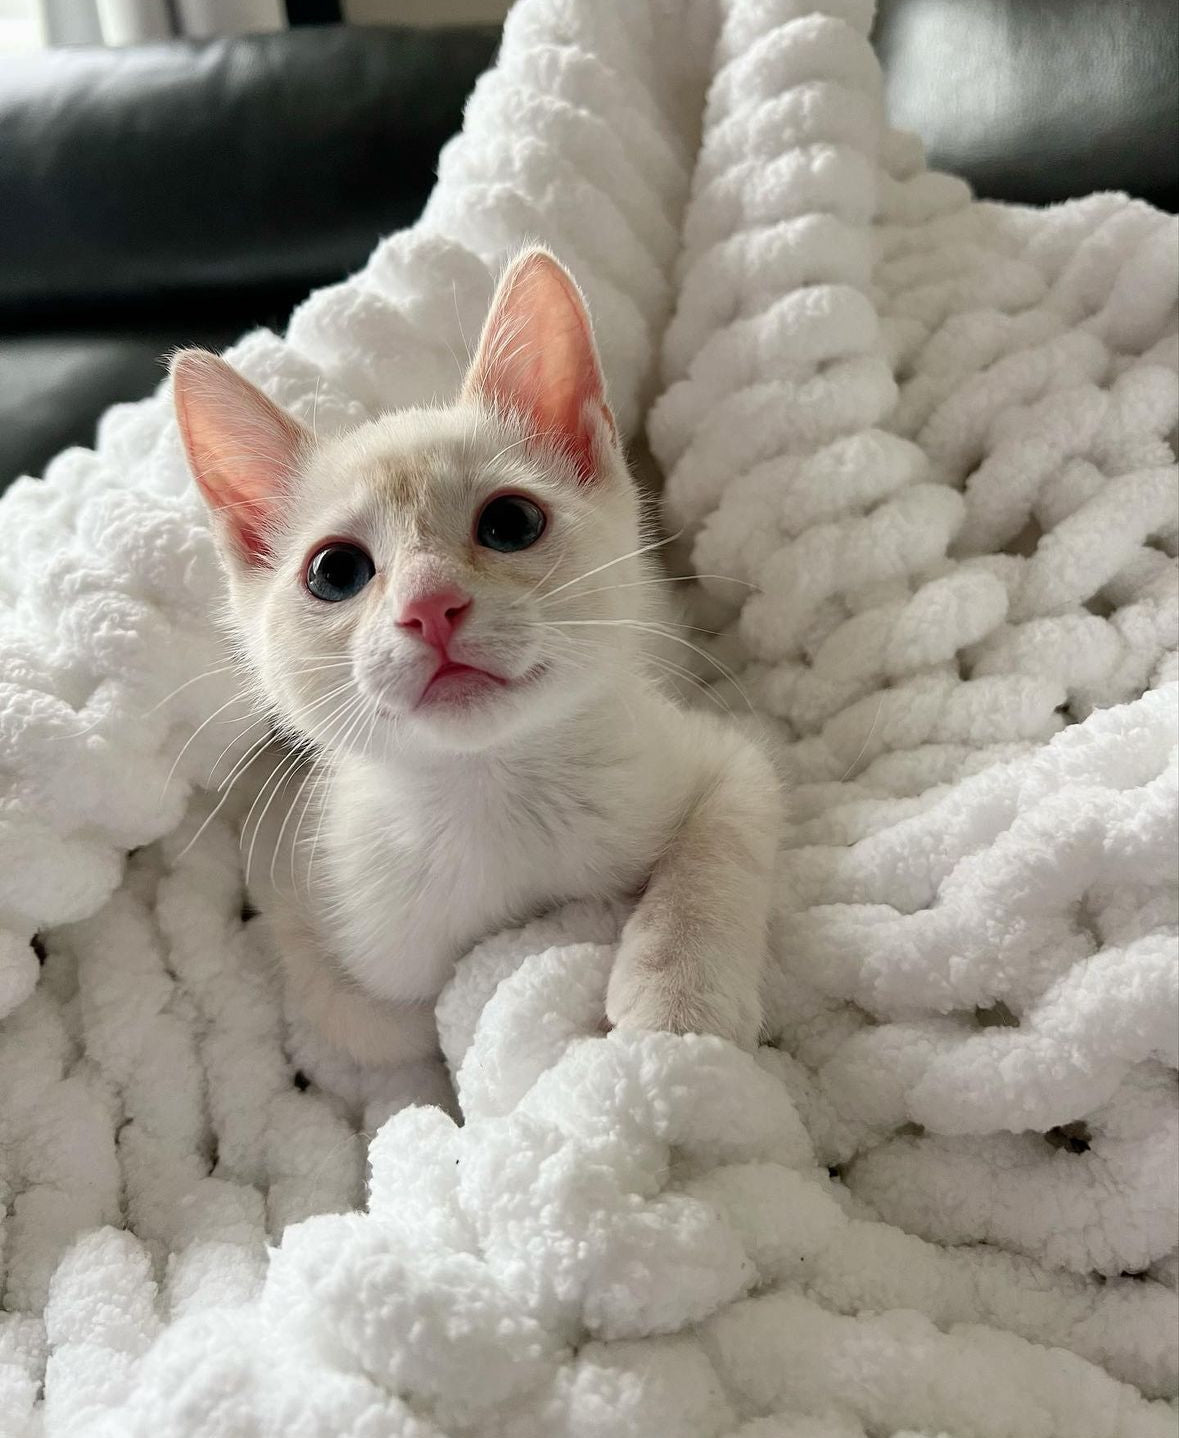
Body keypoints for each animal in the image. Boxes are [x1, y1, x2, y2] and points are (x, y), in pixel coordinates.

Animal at [172, 250, 782, 1069]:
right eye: (335, 572)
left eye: (511, 523)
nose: (430, 605)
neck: (494, 792)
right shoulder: (291, 879)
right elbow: (377, 1019)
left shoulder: (723, 753)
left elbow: (722, 841)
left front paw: (677, 1003)